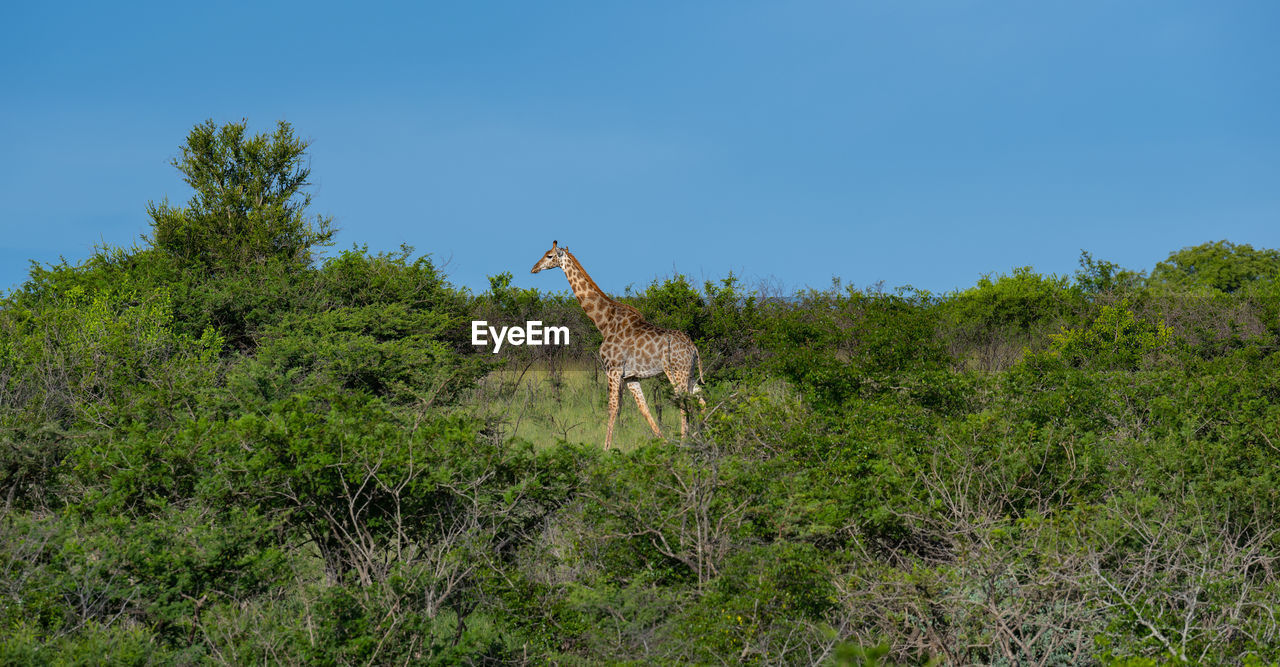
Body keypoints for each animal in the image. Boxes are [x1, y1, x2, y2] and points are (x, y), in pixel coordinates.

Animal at [532, 241, 711, 450]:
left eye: (550, 256)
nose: (534, 268)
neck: (603, 322)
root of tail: (693, 348)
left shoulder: (613, 369)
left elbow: (612, 407)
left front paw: (605, 448)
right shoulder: (631, 376)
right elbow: (644, 408)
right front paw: (663, 441)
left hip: (675, 371)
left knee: (684, 401)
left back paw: (684, 441)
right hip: (689, 372)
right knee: (700, 398)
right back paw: (705, 436)